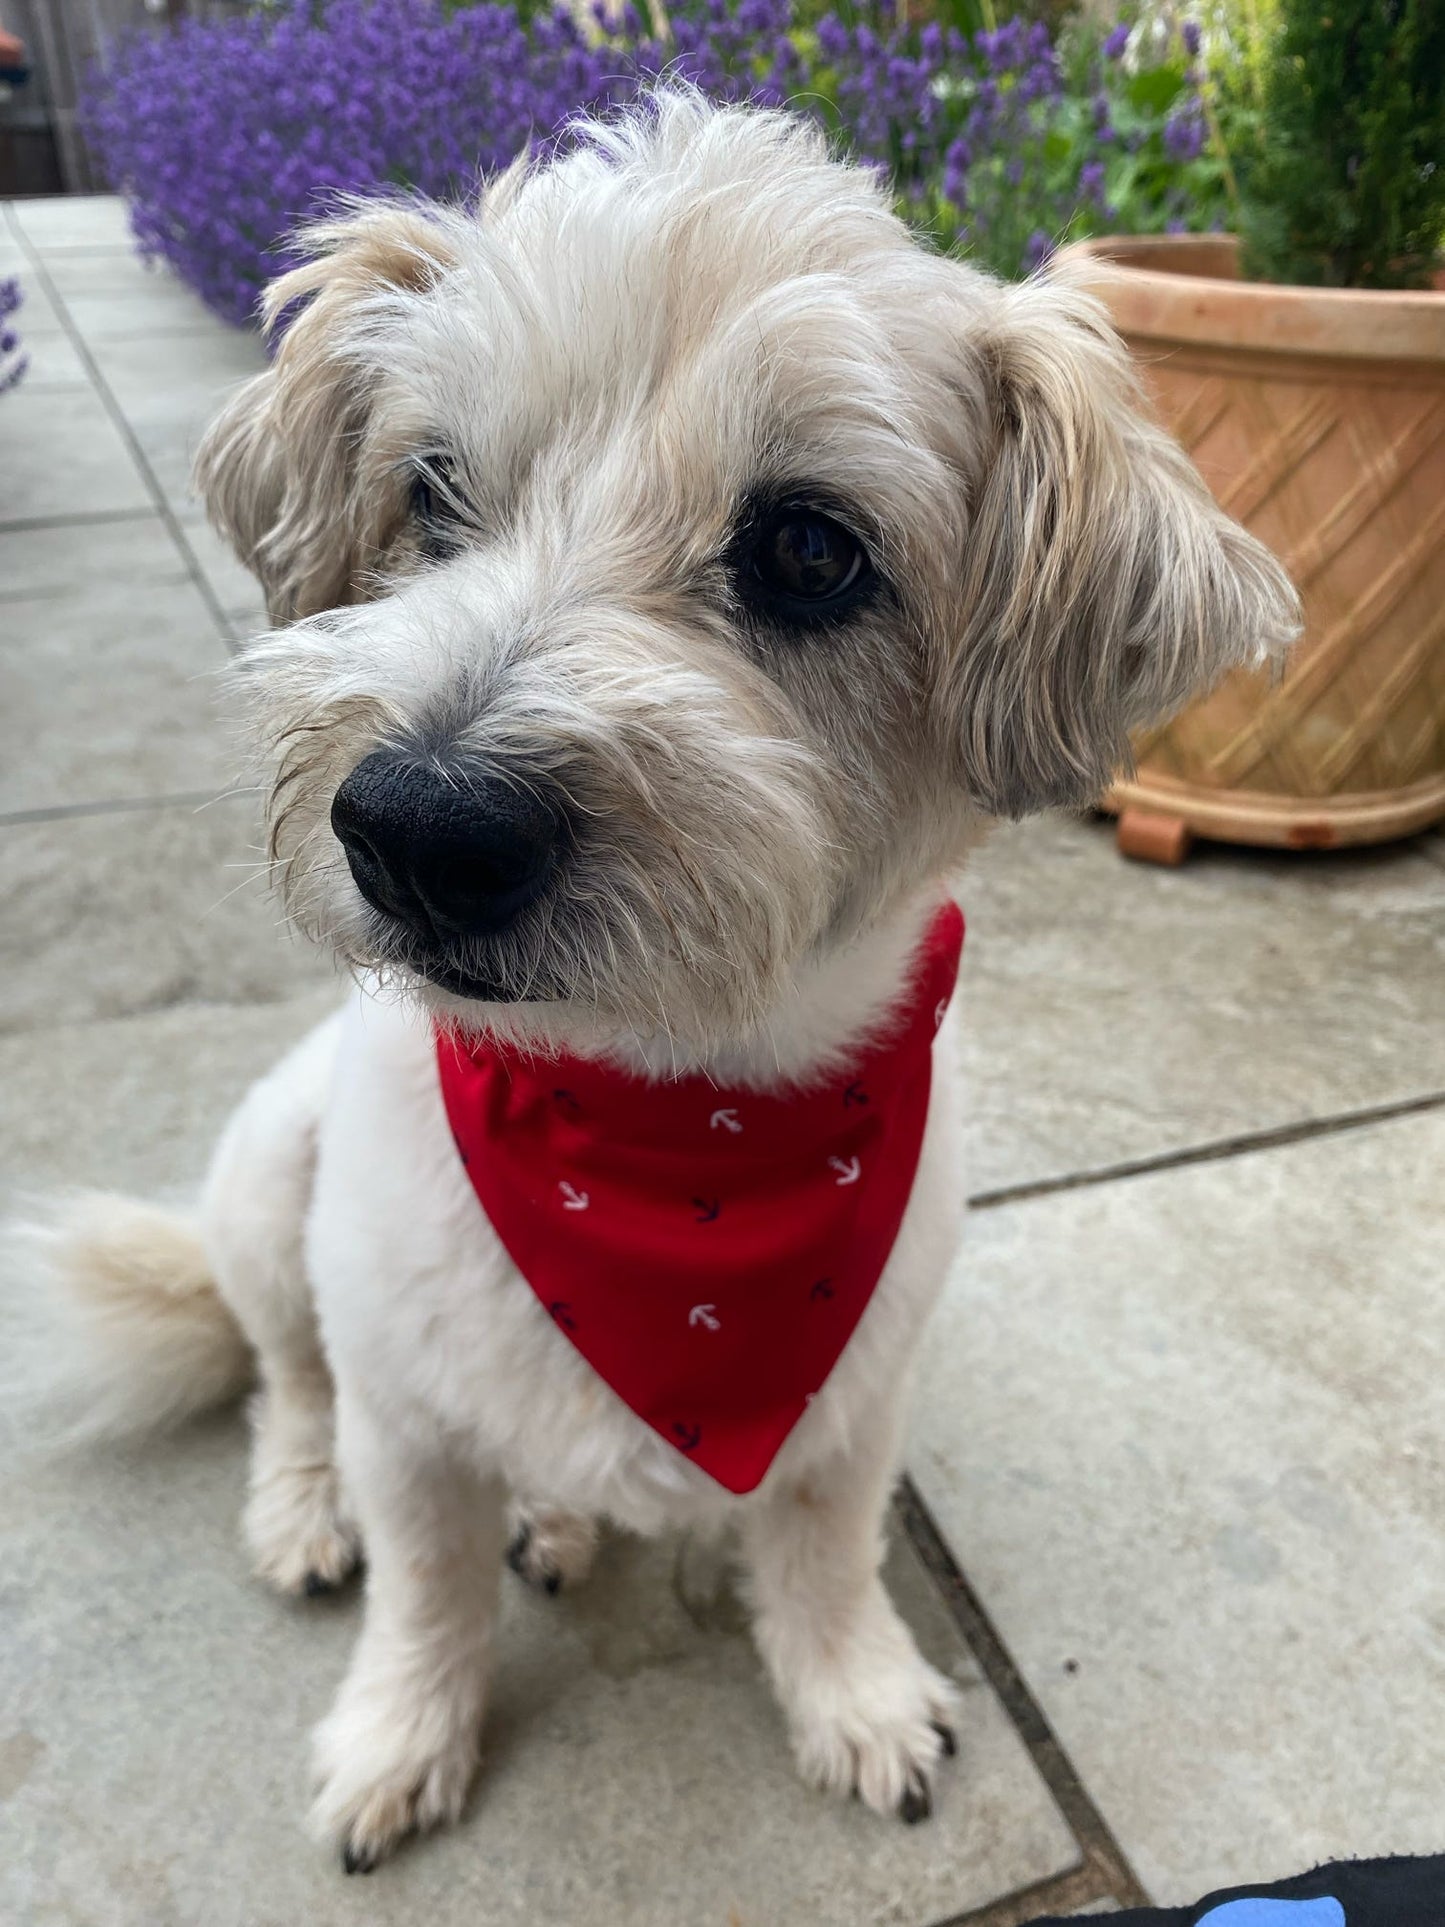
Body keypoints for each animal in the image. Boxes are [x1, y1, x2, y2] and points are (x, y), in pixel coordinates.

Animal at [0, 90, 1310, 1865]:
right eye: (431, 487)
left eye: (811, 549)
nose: (418, 830)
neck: (669, 1125)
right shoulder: (408, 1418)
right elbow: (421, 1587)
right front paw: (399, 1731)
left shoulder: (854, 1405)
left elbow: (822, 1553)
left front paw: (852, 1691)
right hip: (270, 1184)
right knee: (286, 1377)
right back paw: (304, 1502)